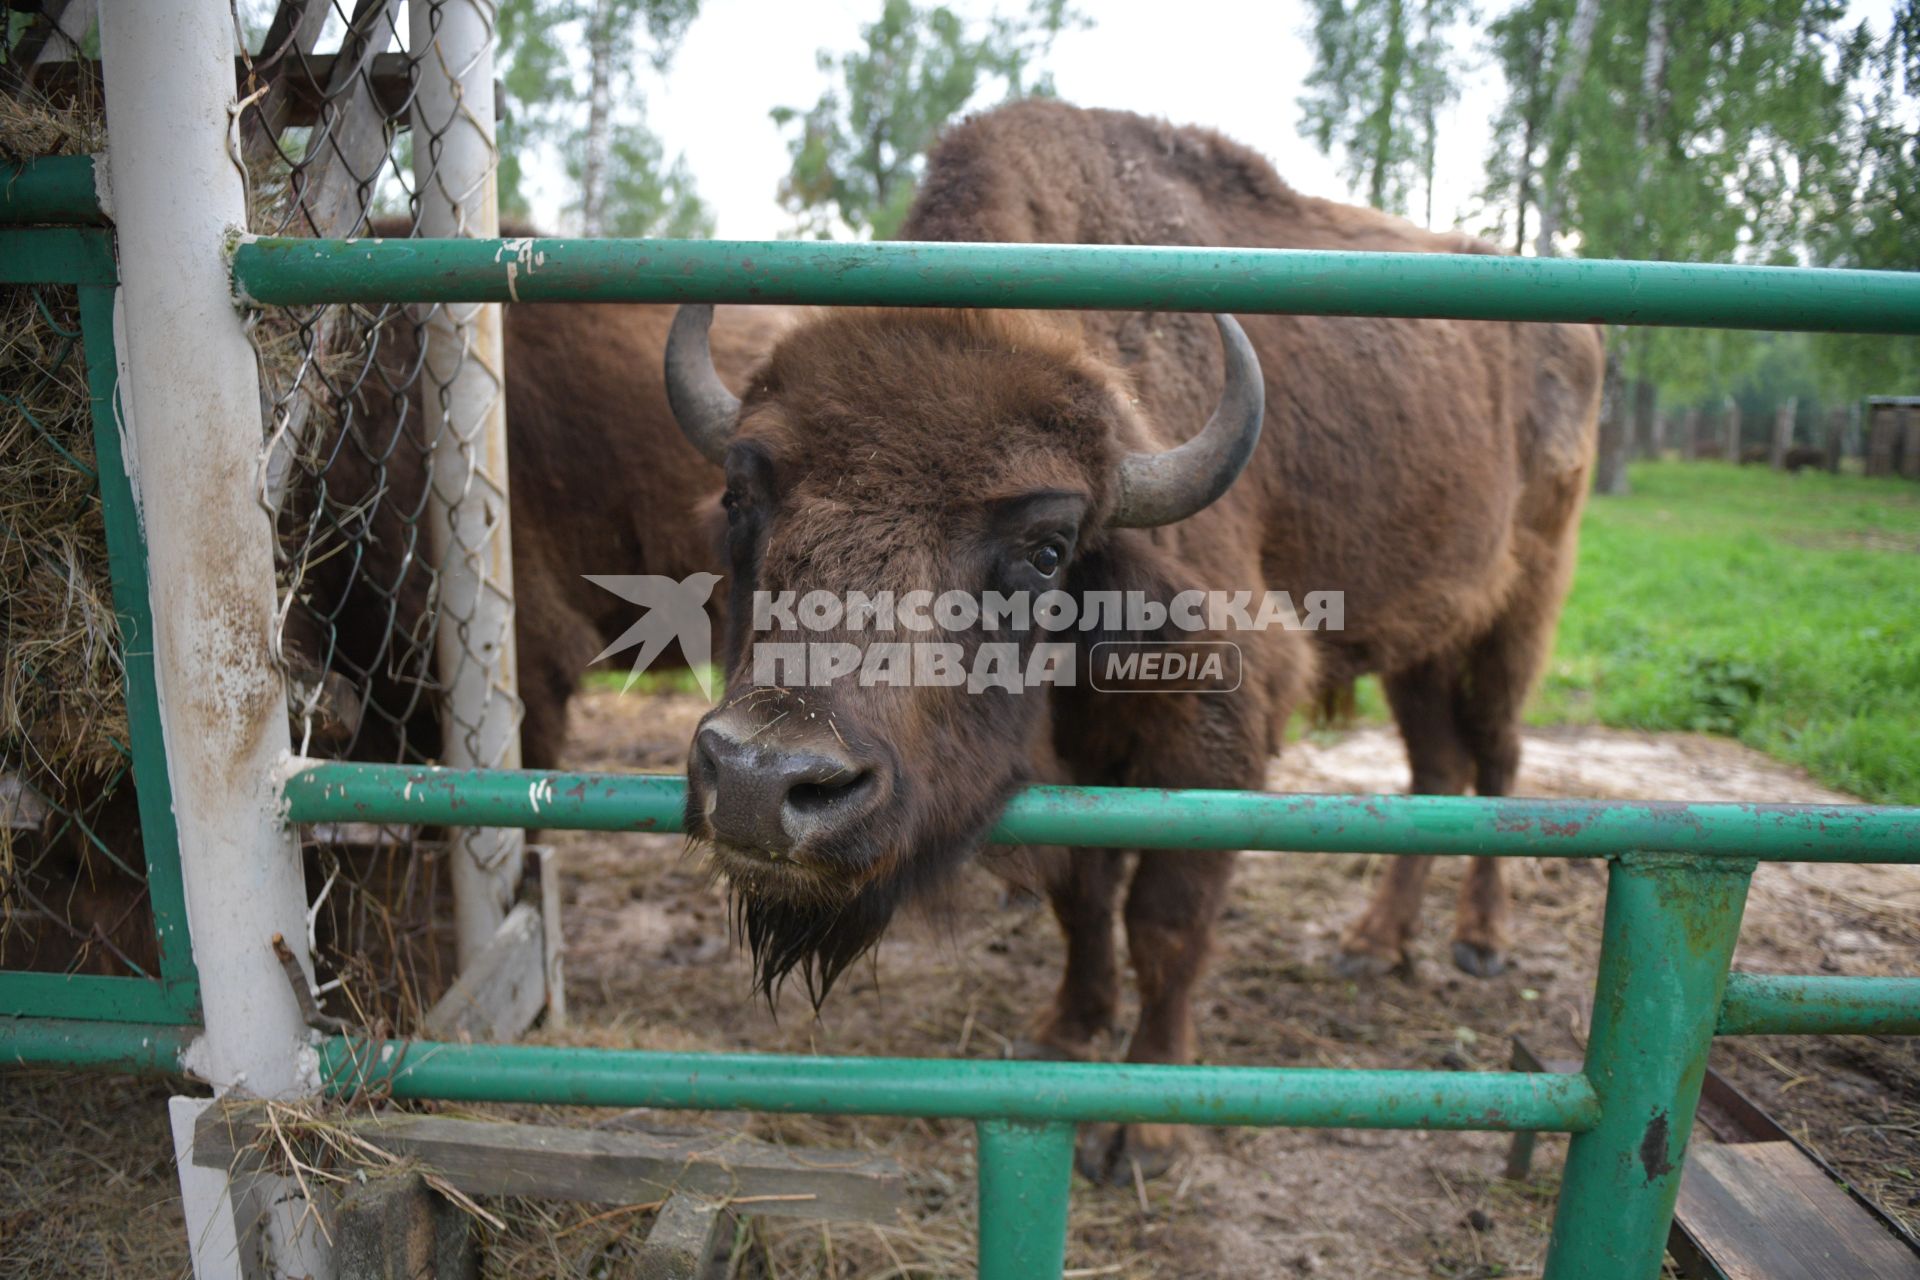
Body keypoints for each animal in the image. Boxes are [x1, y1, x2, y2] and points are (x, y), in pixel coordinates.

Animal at [668, 105, 1597, 1189]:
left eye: (1046, 544)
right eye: (743, 496)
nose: (762, 783)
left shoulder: (1211, 735)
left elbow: (1166, 918)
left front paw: (1139, 1130)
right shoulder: (1070, 764)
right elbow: (1082, 893)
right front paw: (1065, 1032)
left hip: (1514, 614)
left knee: (1498, 762)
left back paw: (1477, 942)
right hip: (1421, 639)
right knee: (1437, 772)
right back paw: (1372, 943)